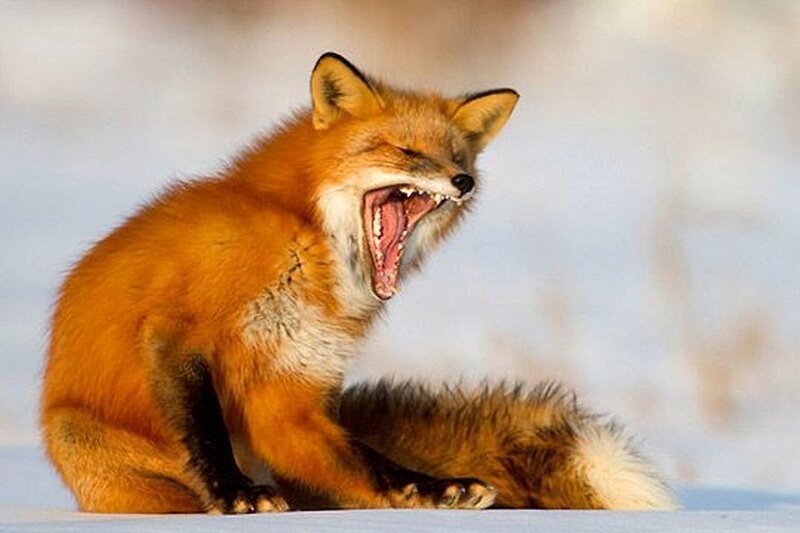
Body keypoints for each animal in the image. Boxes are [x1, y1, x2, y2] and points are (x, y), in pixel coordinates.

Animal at [40, 52, 676, 514]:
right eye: (406, 150)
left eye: (458, 156)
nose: (464, 181)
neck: (302, 241)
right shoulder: (178, 330)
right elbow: (205, 430)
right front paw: (234, 494)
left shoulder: (292, 389)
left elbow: (368, 461)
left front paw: (431, 490)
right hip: (88, 439)